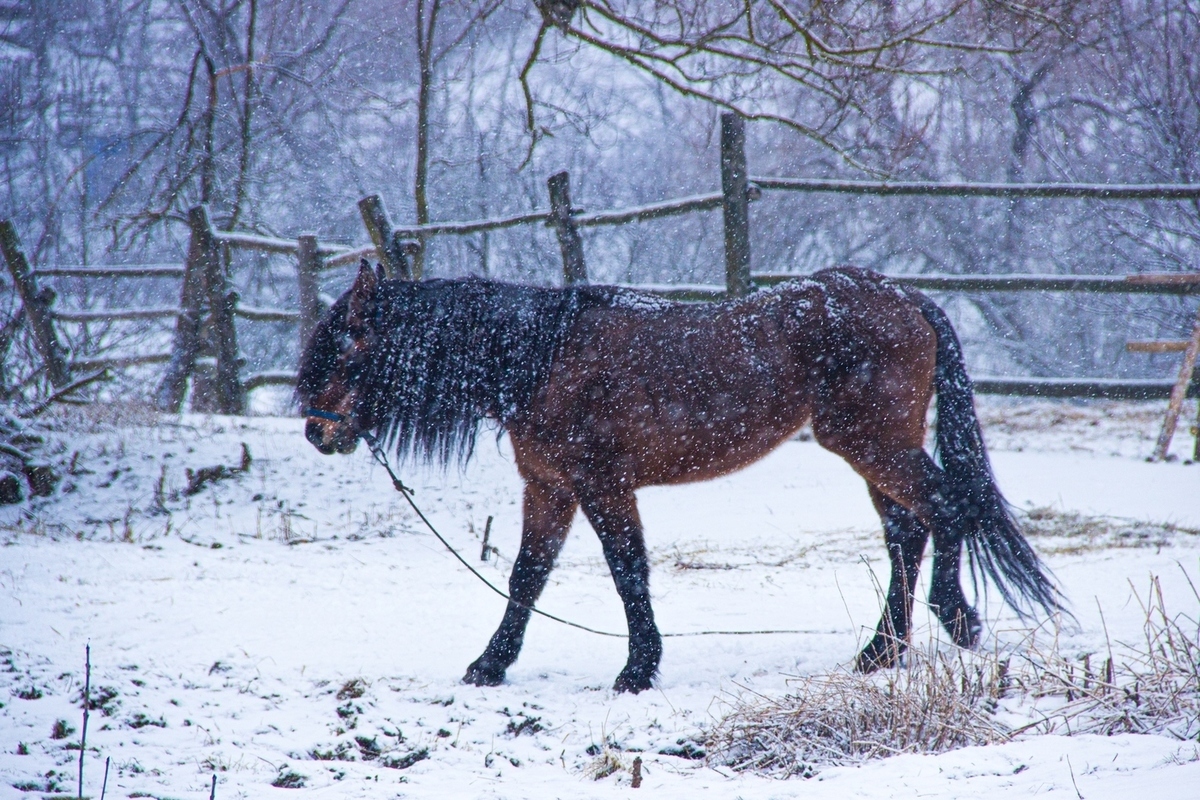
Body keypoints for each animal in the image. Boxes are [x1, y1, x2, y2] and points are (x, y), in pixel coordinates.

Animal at [297, 262, 1060, 695]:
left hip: (874, 442)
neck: (543, 357)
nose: (316, 432)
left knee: (946, 509)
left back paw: (955, 619)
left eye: (347, 348)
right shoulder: (548, 486)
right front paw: (491, 665)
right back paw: (881, 652)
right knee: (909, 529)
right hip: (877, 448)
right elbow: (526, 576)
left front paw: (637, 671)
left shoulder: (601, 484)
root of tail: (905, 298)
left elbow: (626, 569)